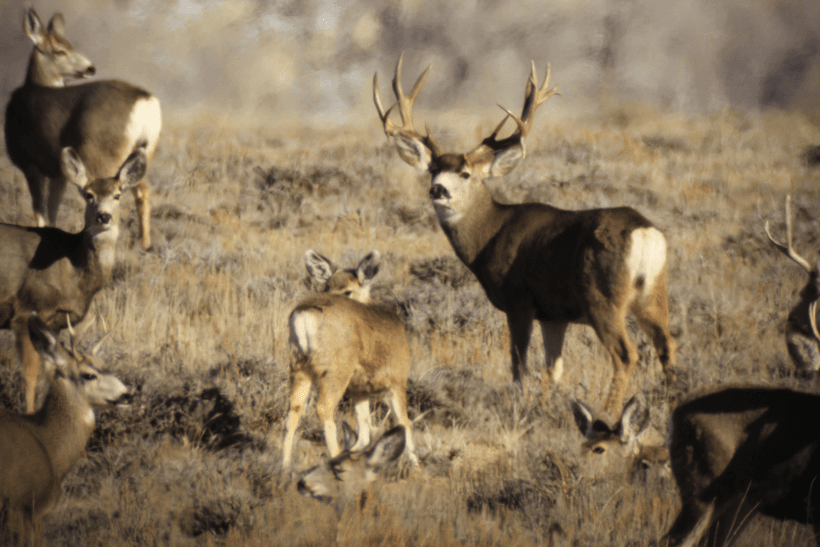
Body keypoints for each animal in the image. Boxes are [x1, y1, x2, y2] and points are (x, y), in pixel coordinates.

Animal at [0, 145, 145, 413]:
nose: (104, 217)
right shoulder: (24, 311)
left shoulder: (58, 321)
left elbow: (52, 372)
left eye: (118, 195)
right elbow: (31, 378)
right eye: (89, 195)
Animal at [4, 8, 161, 250]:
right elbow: (52, 210)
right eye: (60, 50)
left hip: (102, 156)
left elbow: (40, 210)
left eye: (67, 47)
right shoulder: (58, 171)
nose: (90, 67)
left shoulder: (31, 164)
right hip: (144, 152)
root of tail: (145, 101)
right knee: (142, 192)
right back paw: (145, 245)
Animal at [280, 249, 418, 470]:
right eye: (327, 287)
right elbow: (404, 423)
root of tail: (304, 315)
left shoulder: (360, 388)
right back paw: (334, 461)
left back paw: (284, 468)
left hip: (298, 365)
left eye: (347, 291)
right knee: (323, 408)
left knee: (292, 411)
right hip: (337, 369)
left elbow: (365, 433)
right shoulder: (397, 379)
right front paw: (417, 468)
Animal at [373, 54, 677, 413]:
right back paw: (675, 399)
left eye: (465, 173)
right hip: (653, 294)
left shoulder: (518, 300)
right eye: (433, 169)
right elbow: (553, 368)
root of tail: (644, 233)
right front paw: (546, 405)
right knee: (667, 346)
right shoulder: (553, 314)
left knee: (625, 355)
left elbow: (518, 366)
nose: (438, 189)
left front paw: (520, 404)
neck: (490, 235)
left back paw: (608, 411)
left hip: (602, 296)